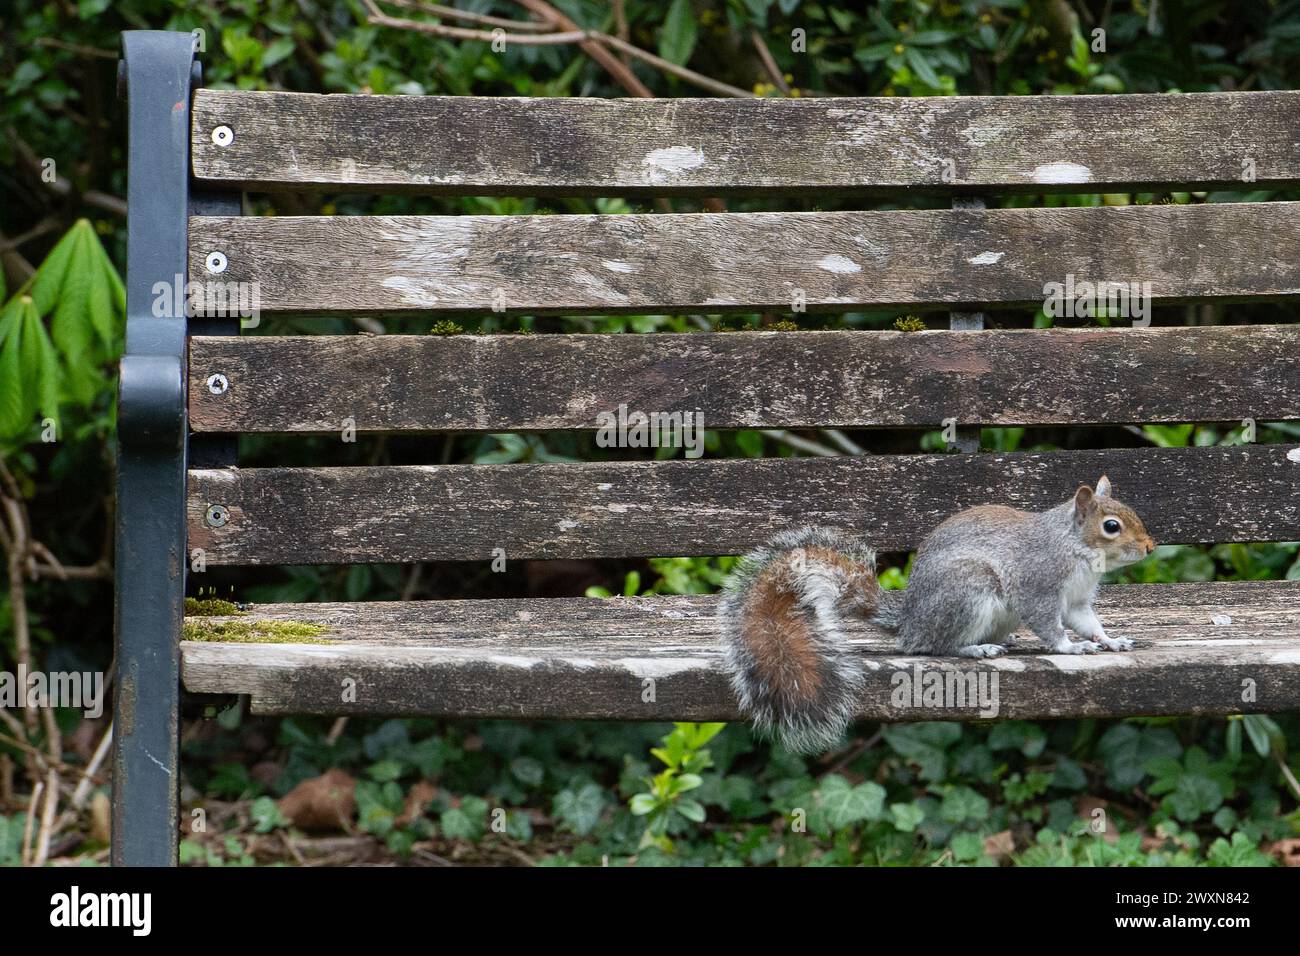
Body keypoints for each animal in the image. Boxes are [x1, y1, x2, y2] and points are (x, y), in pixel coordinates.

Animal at [719, 475, 1156, 754]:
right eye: (1111, 526)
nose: (1150, 547)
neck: (1076, 548)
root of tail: (910, 619)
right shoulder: (1039, 585)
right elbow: (1050, 625)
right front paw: (1069, 648)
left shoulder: (1078, 600)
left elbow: (1089, 622)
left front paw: (1110, 640)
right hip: (968, 591)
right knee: (932, 646)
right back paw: (974, 650)